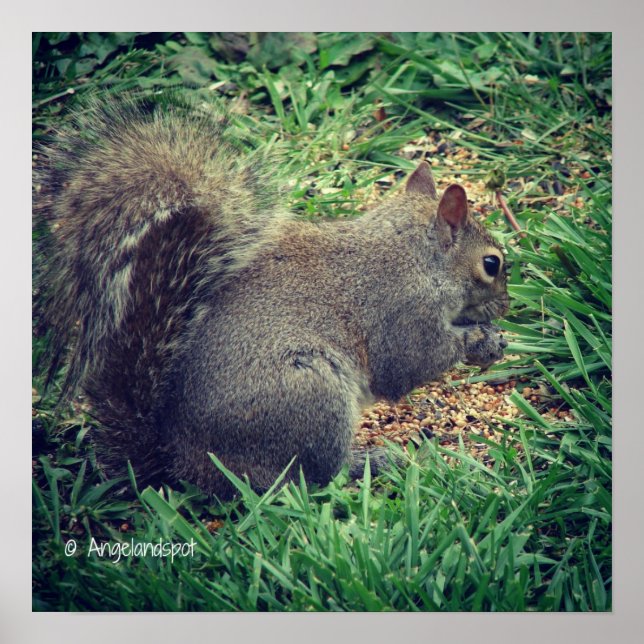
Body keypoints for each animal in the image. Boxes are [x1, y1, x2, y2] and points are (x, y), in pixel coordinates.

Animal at [34, 96, 509, 499]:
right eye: (492, 264)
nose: (506, 306)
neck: (415, 256)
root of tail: (182, 465)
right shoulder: (401, 311)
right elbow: (409, 363)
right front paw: (482, 341)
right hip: (311, 395)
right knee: (309, 478)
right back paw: (368, 462)